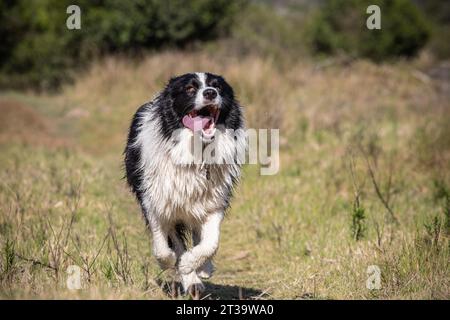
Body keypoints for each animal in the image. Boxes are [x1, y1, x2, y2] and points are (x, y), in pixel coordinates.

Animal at [124, 72, 246, 296]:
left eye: (217, 87)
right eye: (190, 88)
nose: (210, 93)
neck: (196, 152)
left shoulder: (214, 202)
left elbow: (211, 242)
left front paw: (195, 264)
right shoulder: (157, 203)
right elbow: (165, 246)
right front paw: (175, 264)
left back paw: (202, 269)